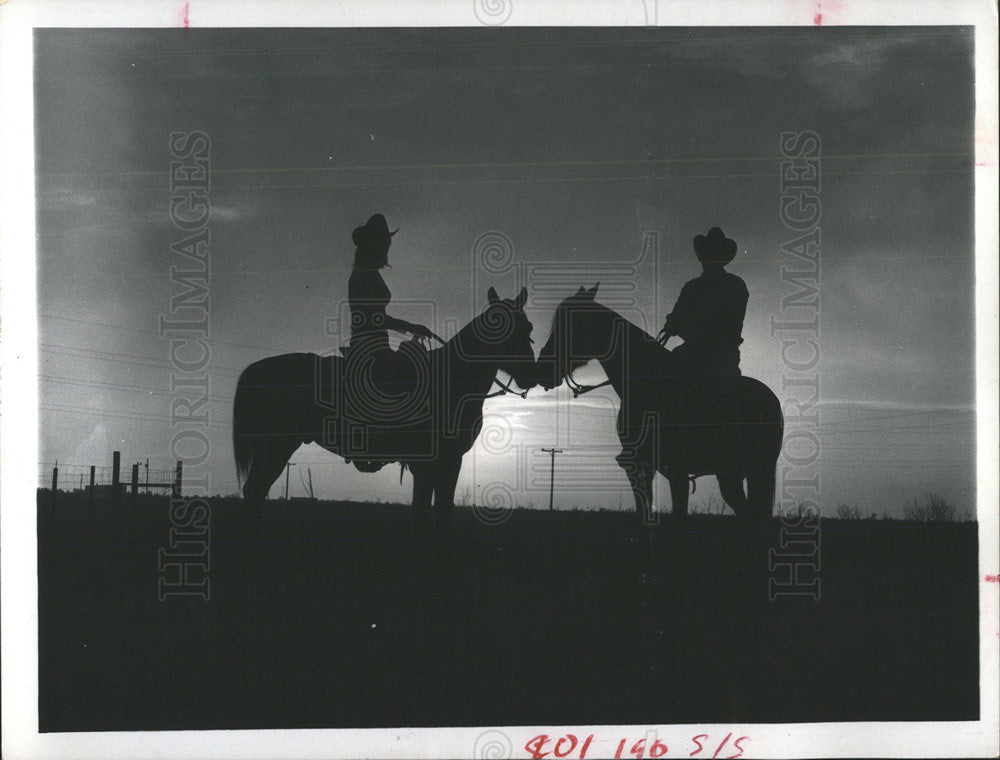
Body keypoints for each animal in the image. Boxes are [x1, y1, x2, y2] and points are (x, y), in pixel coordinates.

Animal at [235, 286, 540, 528]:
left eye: (528, 328)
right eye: (501, 328)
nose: (531, 374)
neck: (451, 380)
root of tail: (258, 368)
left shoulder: (446, 463)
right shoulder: (435, 463)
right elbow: (427, 513)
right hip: (275, 446)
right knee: (254, 491)